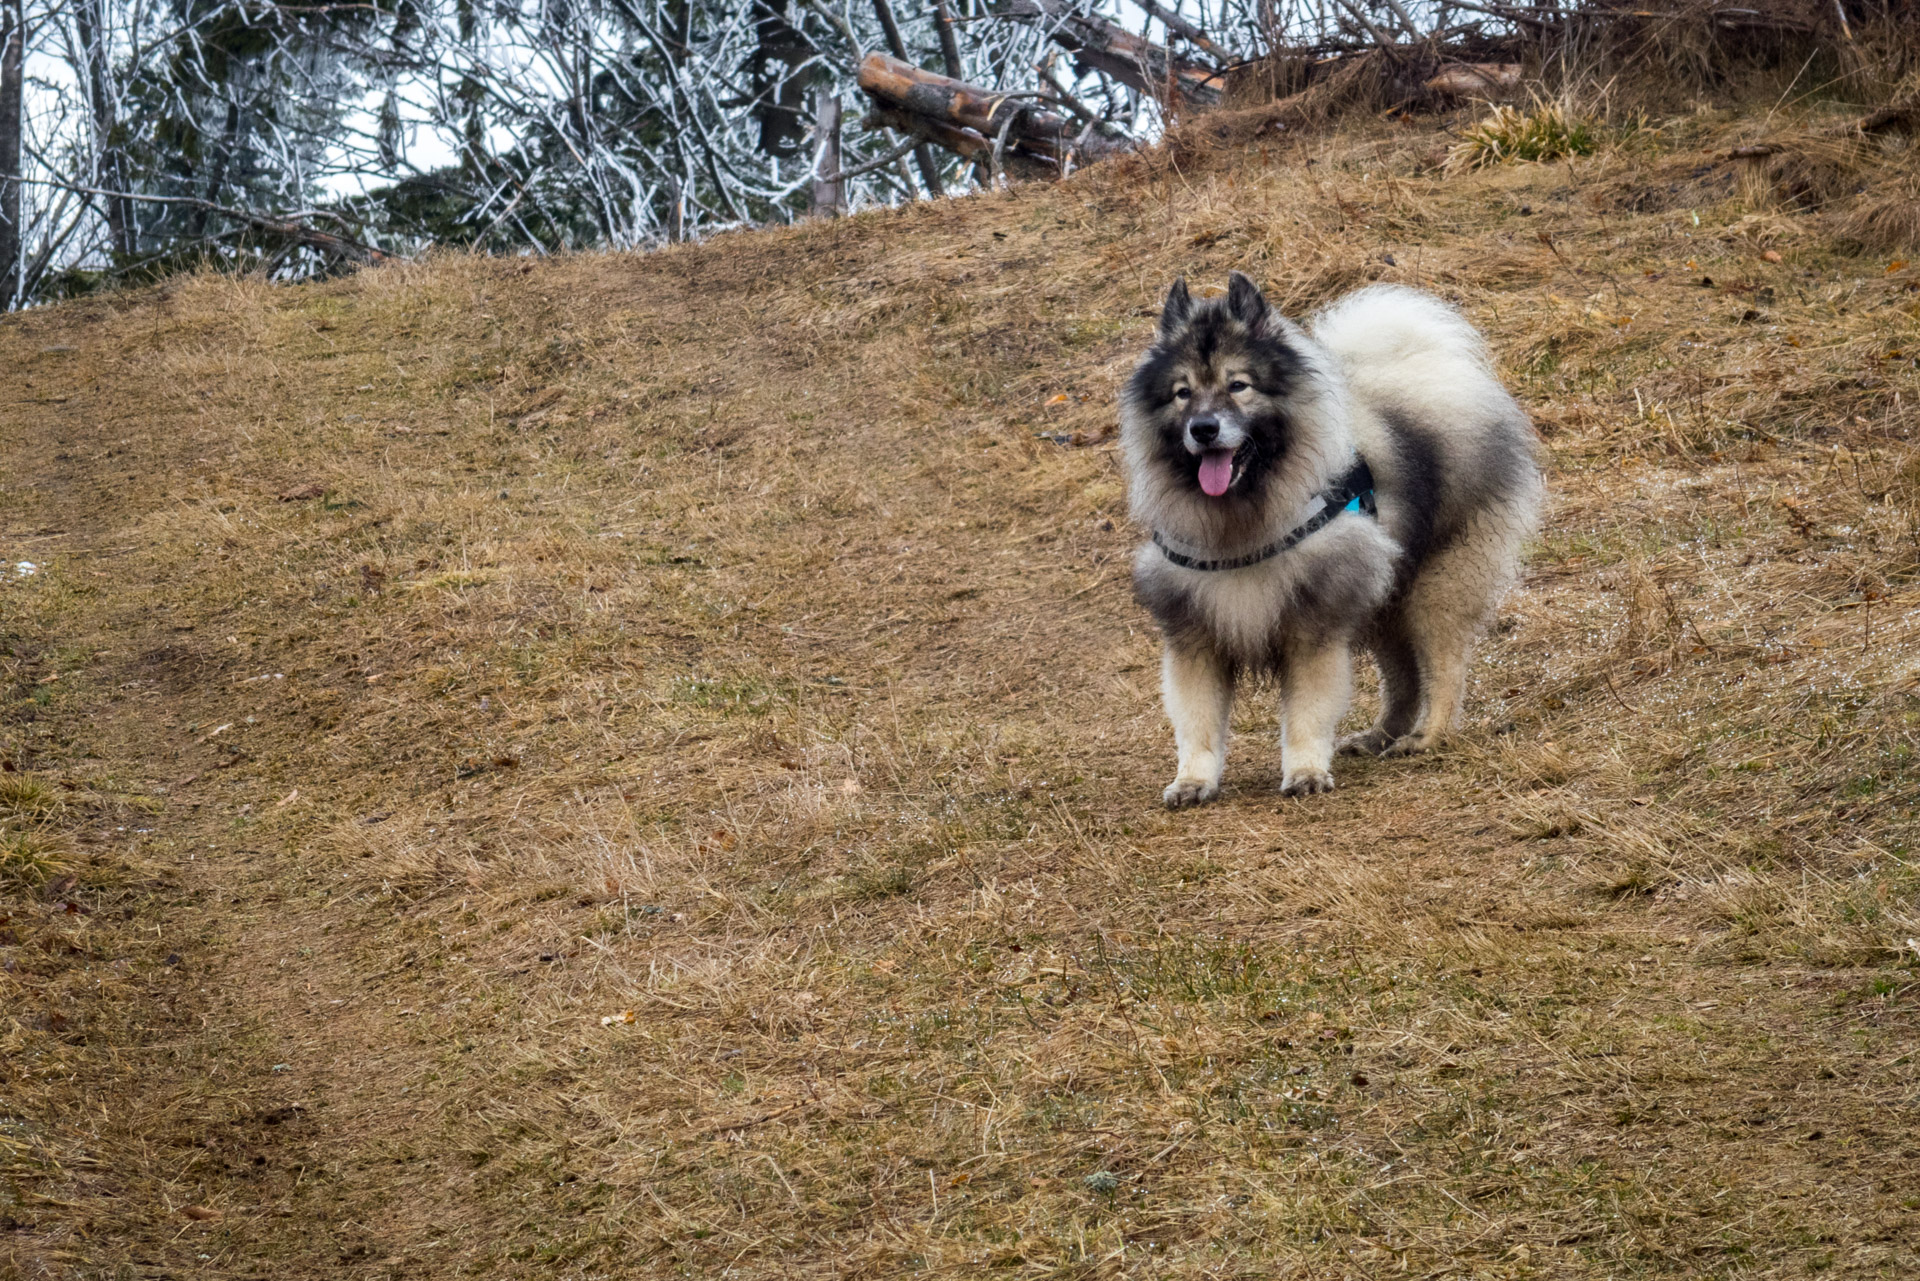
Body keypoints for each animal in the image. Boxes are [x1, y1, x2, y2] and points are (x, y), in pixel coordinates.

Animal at [1121, 274, 1543, 806]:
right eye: (1182, 393)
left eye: (1239, 385)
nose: (1204, 428)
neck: (1242, 520)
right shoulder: (1195, 636)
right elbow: (1197, 723)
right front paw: (1193, 781)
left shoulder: (1312, 628)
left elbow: (1307, 711)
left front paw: (1305, 772)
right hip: (1386, 596)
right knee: (1402, 677)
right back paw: (1380, 736)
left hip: (1436, 586)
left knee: (1442, 669)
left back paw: (1429, 737)